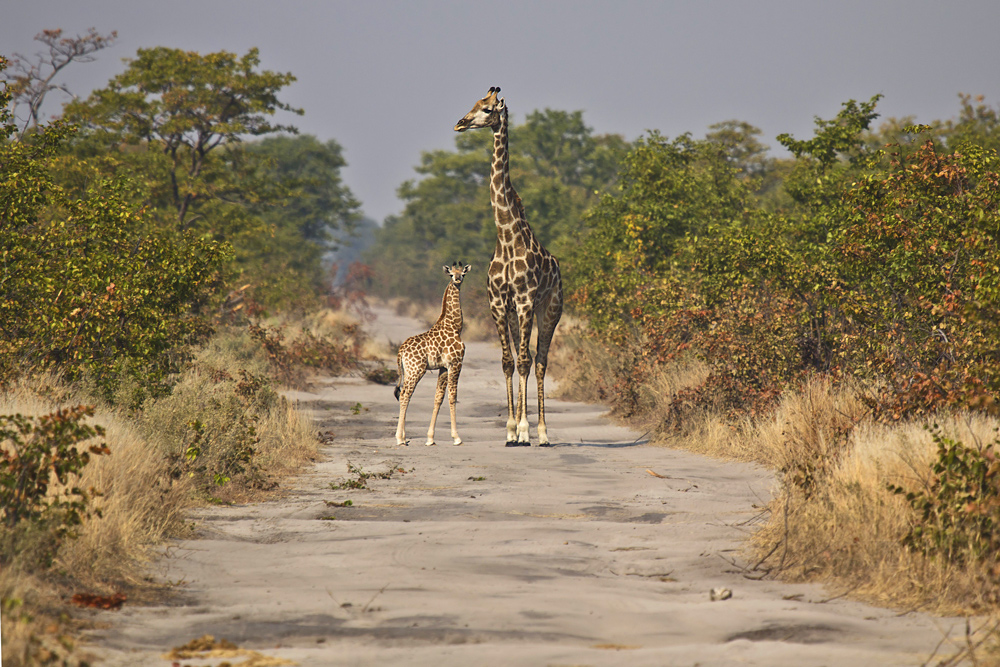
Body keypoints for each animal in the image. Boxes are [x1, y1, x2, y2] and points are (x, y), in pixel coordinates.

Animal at [392, 264, 470, 446]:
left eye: (463, 273)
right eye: (451, 274)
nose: (458, 280)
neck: (455, 326)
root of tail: (400, 352)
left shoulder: (443, 367)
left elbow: (438, 398)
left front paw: (430, 438)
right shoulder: (456, 363)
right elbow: (452, 396)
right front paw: (457, 438)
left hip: (408, 371)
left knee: (404, 394)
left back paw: (403, 436)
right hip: (416, 370)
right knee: (405, 394)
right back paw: (399, 438)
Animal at [456, 86, 564, 446]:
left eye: (488, 109)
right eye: (473, 104)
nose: (460, 123)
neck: (505, 235)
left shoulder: (527, 299)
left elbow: (527, 362)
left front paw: (526, 430)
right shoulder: (498, 302)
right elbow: (508, 361)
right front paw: (509, 430)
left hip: (550, 309)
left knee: (541, 361)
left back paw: (542, 433)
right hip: (520, 311)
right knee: (522, 357)